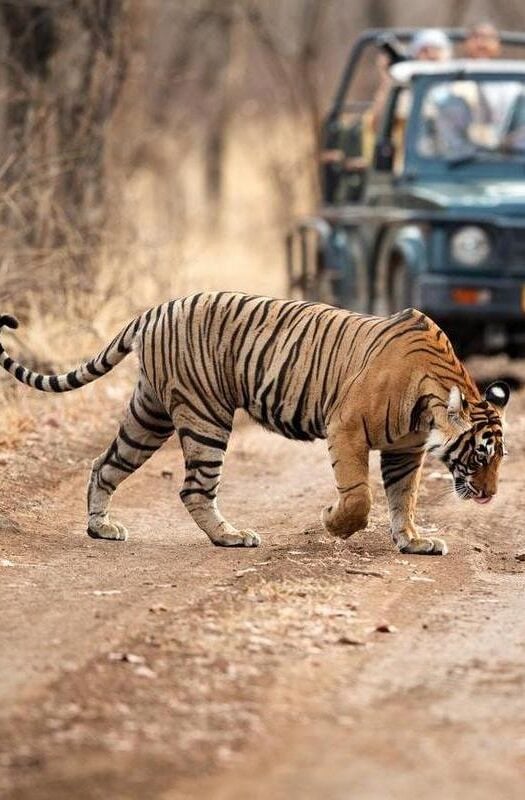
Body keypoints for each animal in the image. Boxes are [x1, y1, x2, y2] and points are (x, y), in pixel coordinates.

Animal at [0, 292, 508, 556]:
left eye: (499, 458)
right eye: (479, 454)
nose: (489, 495)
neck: (431, 398)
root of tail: (157, 308)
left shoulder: (405, 448)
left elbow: (405, 497)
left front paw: (414, 541)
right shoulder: (346, 428)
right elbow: (359, 496)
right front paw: (334, 523)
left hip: (150, 413)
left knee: (105, 464)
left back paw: (100, 527)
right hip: (205, 415)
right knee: (194, 488)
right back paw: (230, 536)